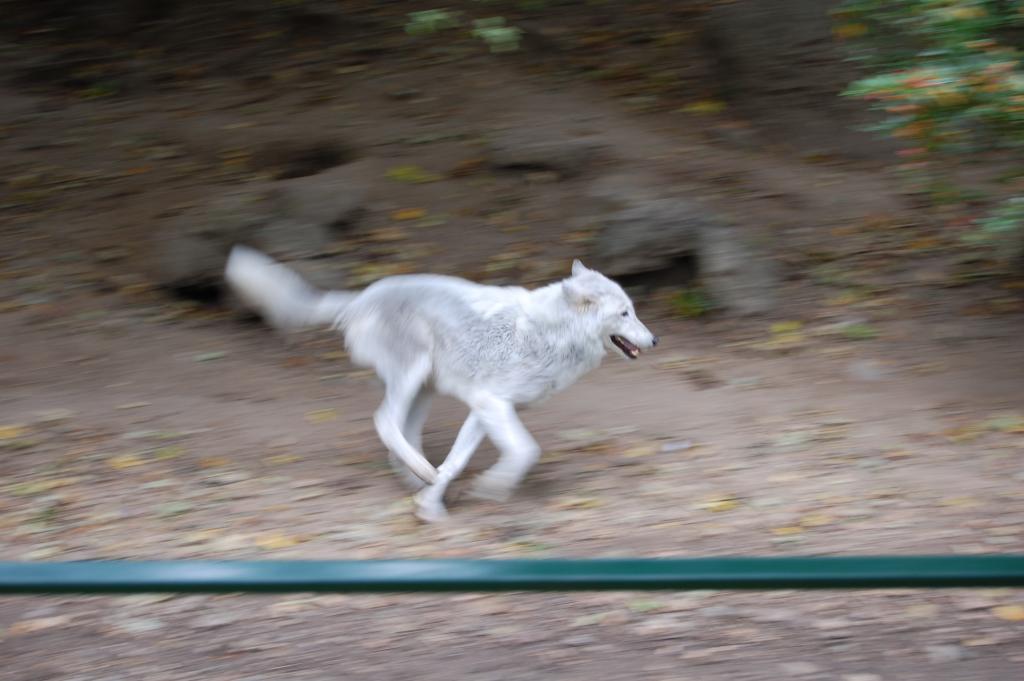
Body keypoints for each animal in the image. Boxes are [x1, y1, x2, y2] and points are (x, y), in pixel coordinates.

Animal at [225, 246, 657, 521]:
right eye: (625, 313)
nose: (654, 340)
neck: (550, 333)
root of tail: (363, 296)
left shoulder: (485, 410)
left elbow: (456, 461)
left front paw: (430, 504)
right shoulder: (492, 404)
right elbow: (525, 451)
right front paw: (488, 488)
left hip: (424, 391)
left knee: (404, 431)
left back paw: (414, 474)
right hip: (411, 375)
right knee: (384, 421)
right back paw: (418, 469)